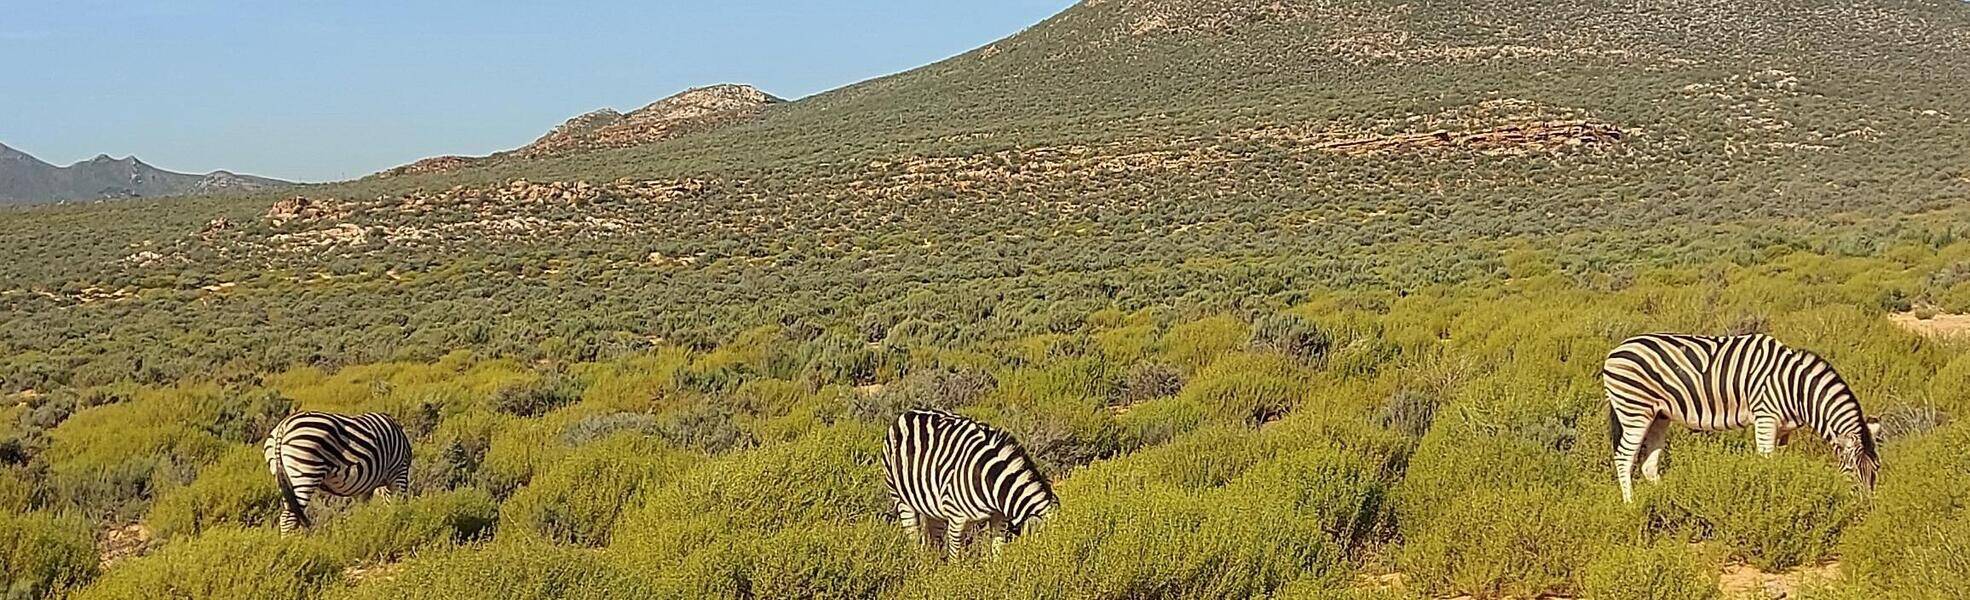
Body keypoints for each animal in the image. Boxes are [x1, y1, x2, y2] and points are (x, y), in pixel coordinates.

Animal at [262, 411, 413, 533]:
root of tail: (284, 425)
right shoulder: (399, 471)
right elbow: (397, 505)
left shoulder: (367, 487)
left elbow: (363, 509)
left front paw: (362, 528)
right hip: (305, 473)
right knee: (288, 518)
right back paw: (290, 546)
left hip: (284, 479)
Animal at [882, 408, 1059, 557]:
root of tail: (906, 413)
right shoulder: (956, 517)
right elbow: (955, 558)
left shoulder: (999, 518)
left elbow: (997, 550)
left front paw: (997, 573)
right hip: (901, 499)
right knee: (913, 539)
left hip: (932, 508)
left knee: (935, 540)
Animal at [1604, 333, 1882, 502]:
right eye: (1852, 471)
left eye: (1876, 470)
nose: (1866, 510)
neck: (1796, 388)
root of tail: (1615, 350)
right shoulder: (1766, 417)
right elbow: (1767, 462)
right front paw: (1770, 495)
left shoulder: (1784, 428)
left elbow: (1780, 463)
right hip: (1634, 410)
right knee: (1624, 458)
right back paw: (1631, 505)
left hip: (1659, 415)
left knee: (1648, 465)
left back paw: (1666, 501)